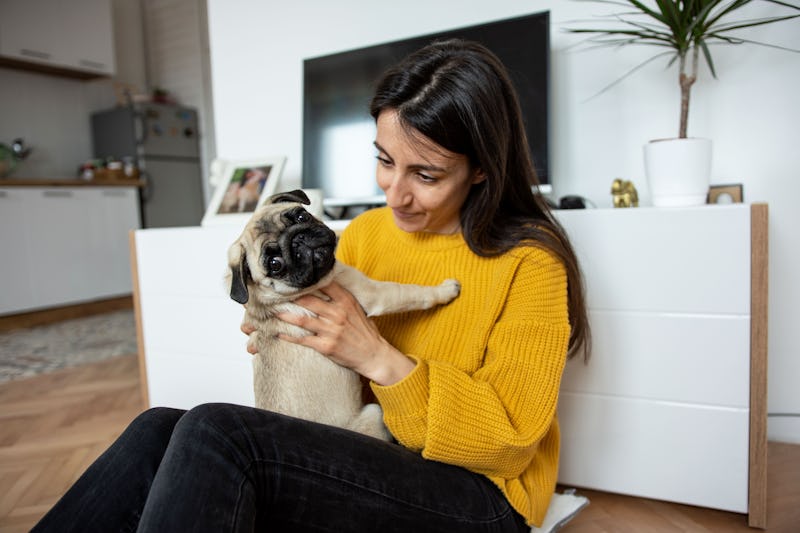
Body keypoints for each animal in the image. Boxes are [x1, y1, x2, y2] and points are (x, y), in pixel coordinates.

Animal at [228, 189, 460, 438]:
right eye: (275, 264)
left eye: (301, 216)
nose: (298, 240)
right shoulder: (371, 291)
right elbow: (409, 292)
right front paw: (445, 290)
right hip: (373, 413)